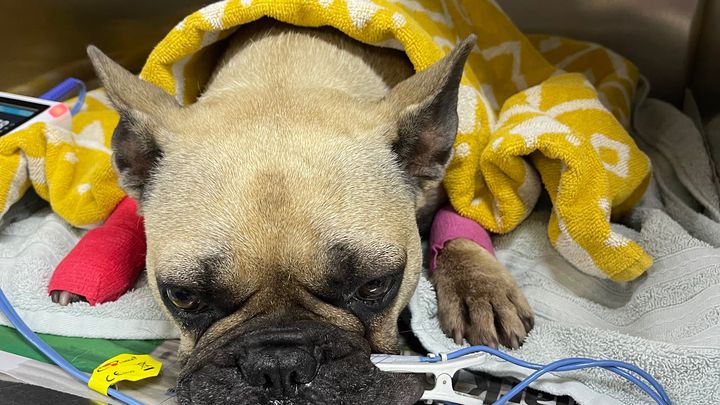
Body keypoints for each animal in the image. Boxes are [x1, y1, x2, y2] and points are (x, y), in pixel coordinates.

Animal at [86, 19, 533, 404]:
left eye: (374, 285)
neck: (286, 76)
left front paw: (479, 288)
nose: (279, 366)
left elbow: (464, 215)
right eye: (183, 297)